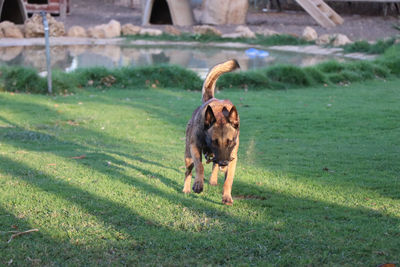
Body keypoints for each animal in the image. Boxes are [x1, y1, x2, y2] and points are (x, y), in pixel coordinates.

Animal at [182, 59, 241, 205]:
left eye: (230, 142)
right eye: (214, 142)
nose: (224, 163)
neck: (219, 114)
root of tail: (211, 99)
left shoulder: (233, 157)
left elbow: (228, 180)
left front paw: (227, 196)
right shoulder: (195, 147)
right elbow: (200, 167)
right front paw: (198, 184)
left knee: (214, 164)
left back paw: (214, 179)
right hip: (188, 156)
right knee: (188, 171)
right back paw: (186, 188)